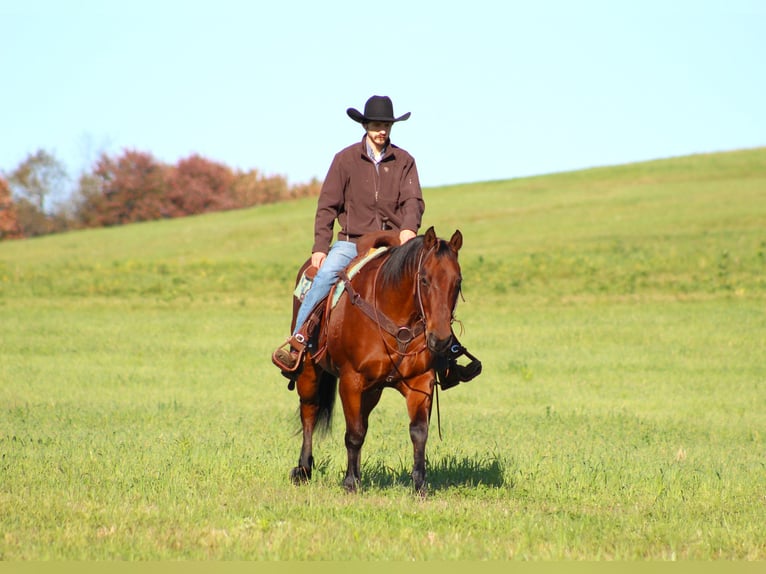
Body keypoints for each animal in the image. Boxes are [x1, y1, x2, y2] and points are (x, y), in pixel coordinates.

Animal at [290, 226, 464, 496]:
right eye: (424, 279)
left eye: (458, 282)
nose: (441, 339)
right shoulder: (350, 381)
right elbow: (353, 434)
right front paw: (350, 483)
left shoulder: (420, 382)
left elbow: (419, 432)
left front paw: (420, 485)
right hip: (309, 371)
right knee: (309, 412)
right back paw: (303, 470)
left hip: (372, 391)